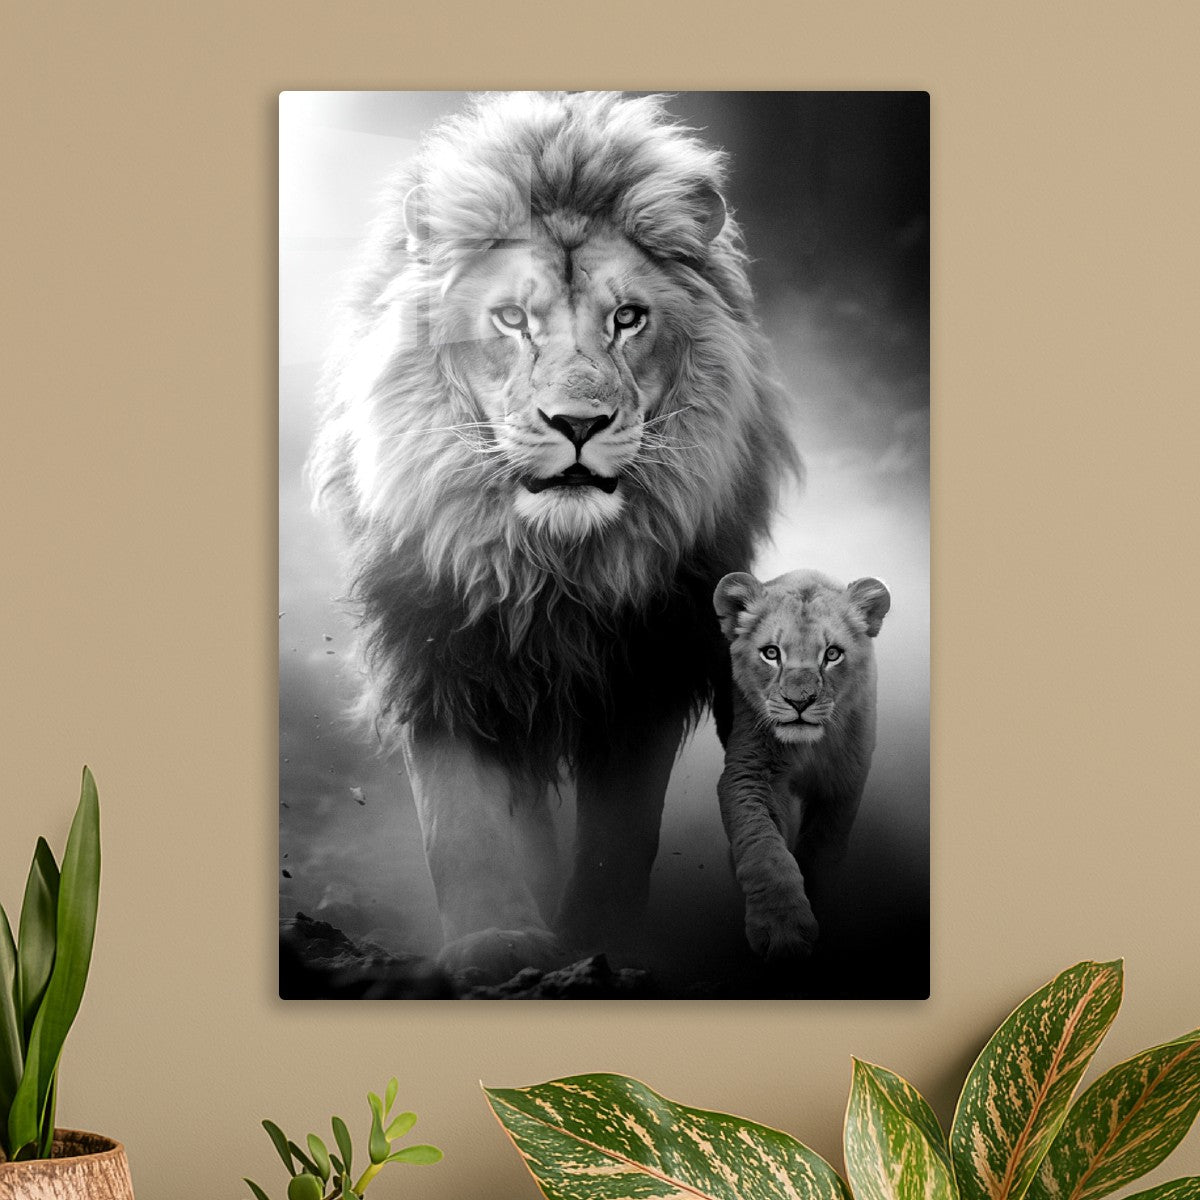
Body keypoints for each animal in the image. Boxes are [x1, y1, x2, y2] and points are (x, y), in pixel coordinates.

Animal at [308, 92, 798, 984]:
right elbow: (460, 818)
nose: (577, 424)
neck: (553, 565)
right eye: (511, 319)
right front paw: (496, 942)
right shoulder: (434, 644)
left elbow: (621, 832)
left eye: (628, 318)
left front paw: (602, 942)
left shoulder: (648, 662)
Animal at [713, 569, 890, 962]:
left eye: (832, 654)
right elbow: (763, 848)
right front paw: (782, 929)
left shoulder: (843, 783)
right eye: (771, 653)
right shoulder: (749, 773)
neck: (806, 748)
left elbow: (822, 847)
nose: (799, 702)